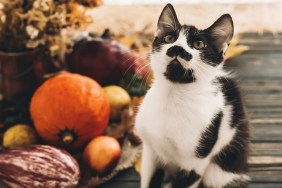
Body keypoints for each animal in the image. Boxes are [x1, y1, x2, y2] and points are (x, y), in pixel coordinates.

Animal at [135, 3, 250, 188]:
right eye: (169, 38)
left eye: (199, 44)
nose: (177, 48)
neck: (173, 96)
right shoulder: (150, 152)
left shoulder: (196, 161)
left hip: (220, 171)